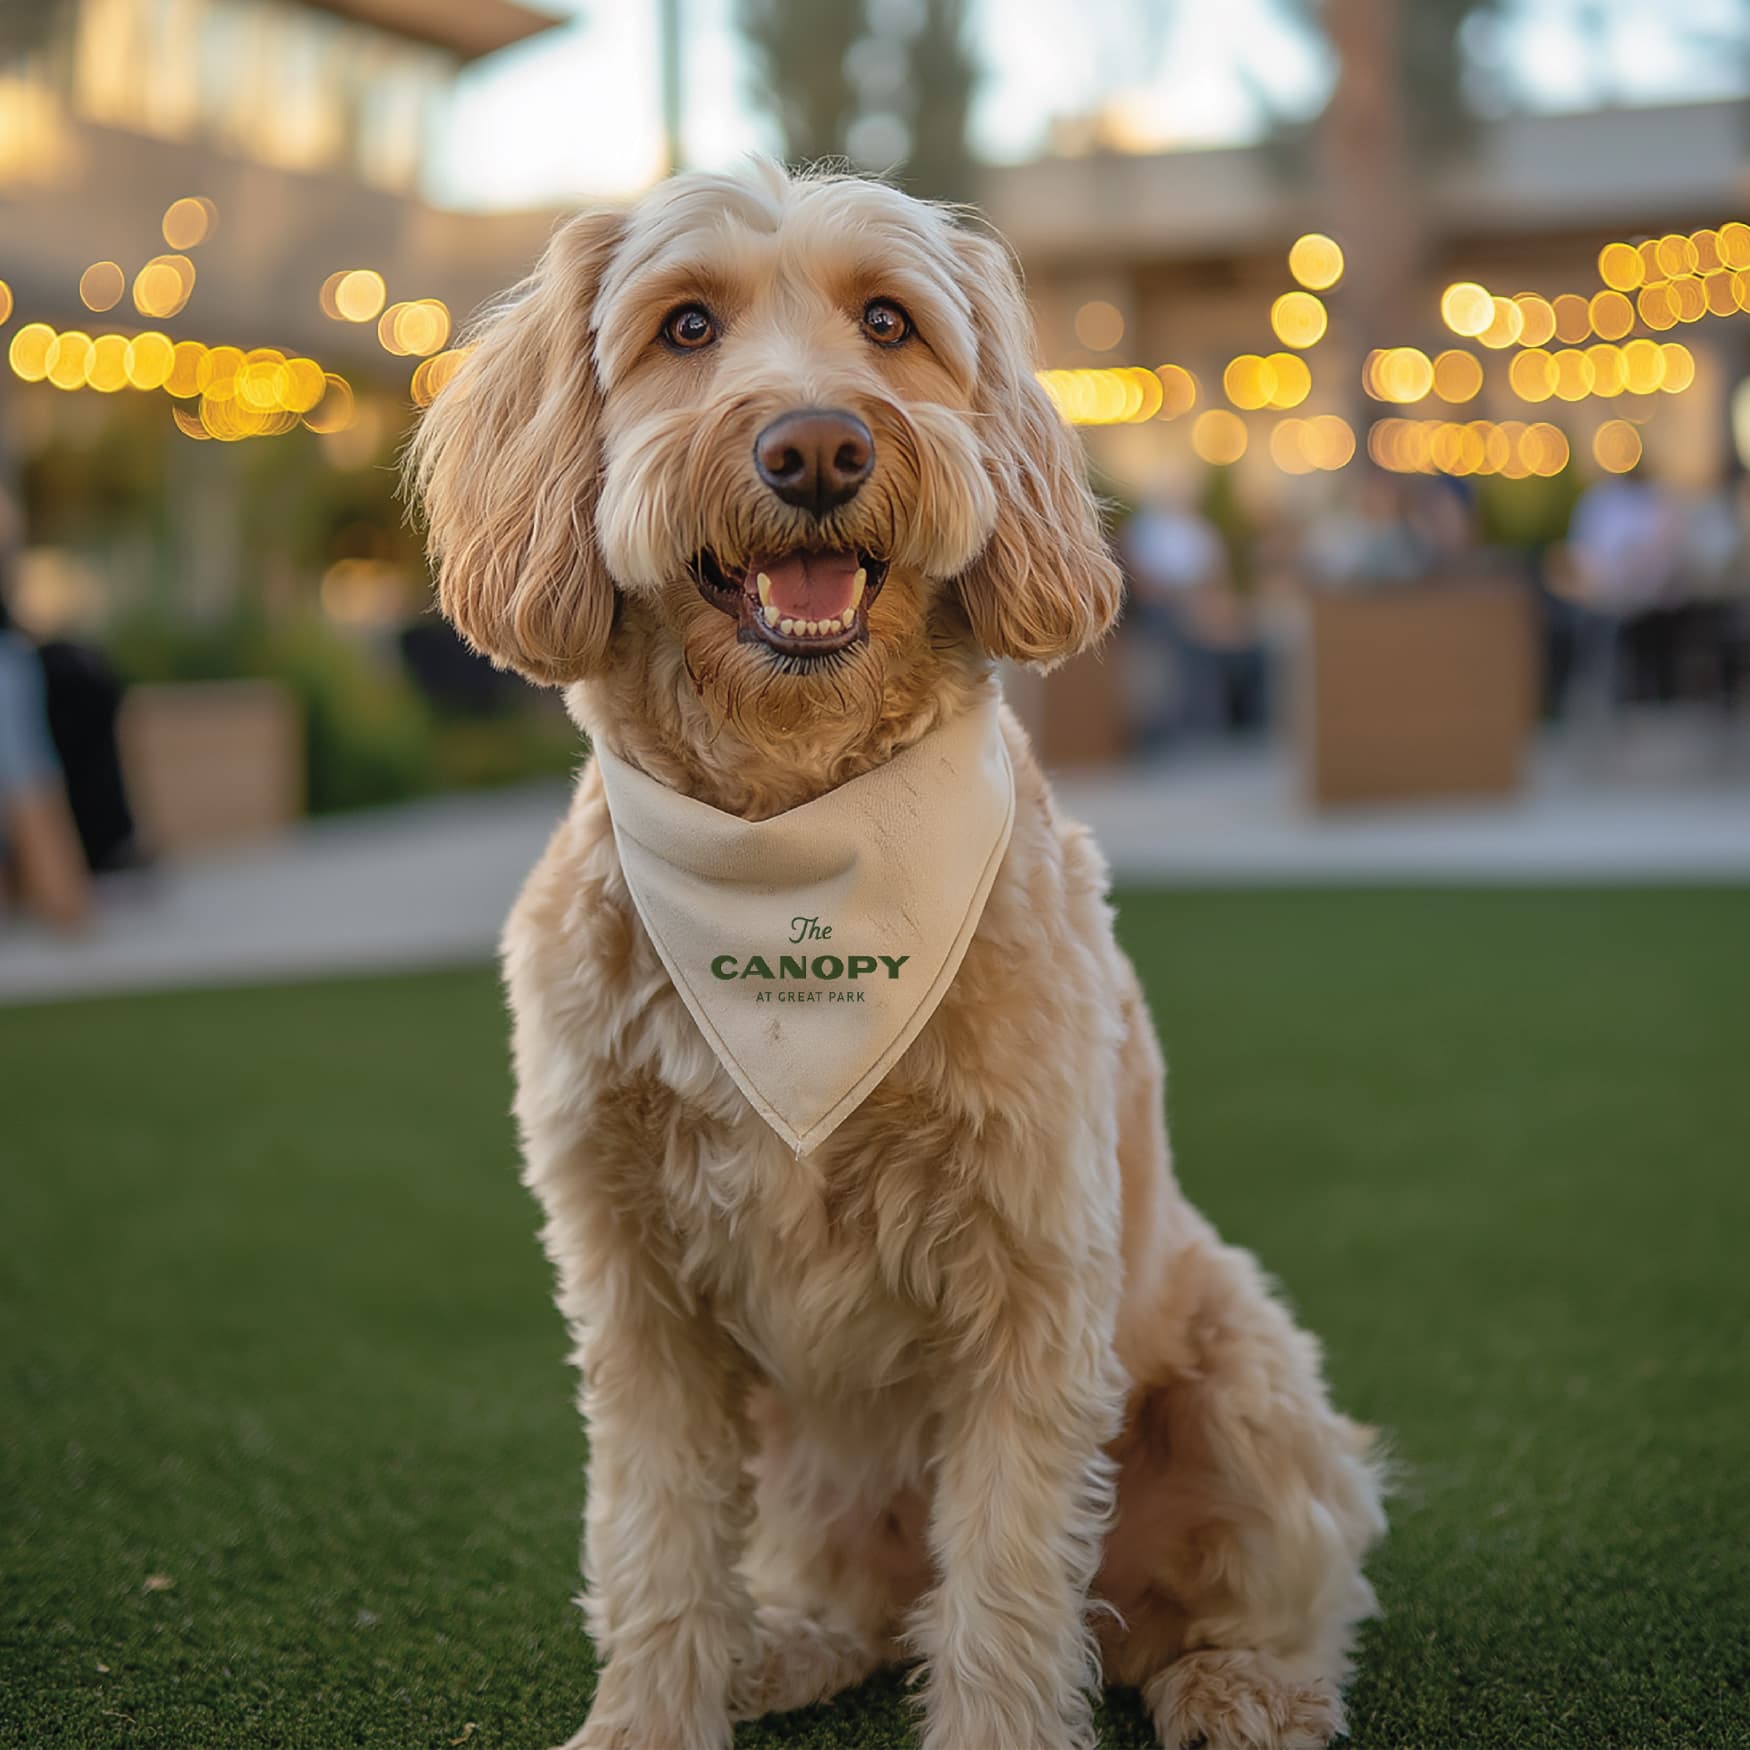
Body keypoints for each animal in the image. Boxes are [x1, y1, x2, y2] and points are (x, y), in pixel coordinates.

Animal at [409, 164, 1379, 1750]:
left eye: (888, 322)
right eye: (686, 326)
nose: (816, 444)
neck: (791, 838)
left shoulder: (1028, 1274)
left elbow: (1004, 1582)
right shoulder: (633, 1283)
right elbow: (654, 1541)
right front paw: (653, 1714)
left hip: (1239, 1367)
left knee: (1284, 1574)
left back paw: (1242, 1679)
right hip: (808, 1458)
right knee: (857, 1595)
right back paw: (790, 1643)